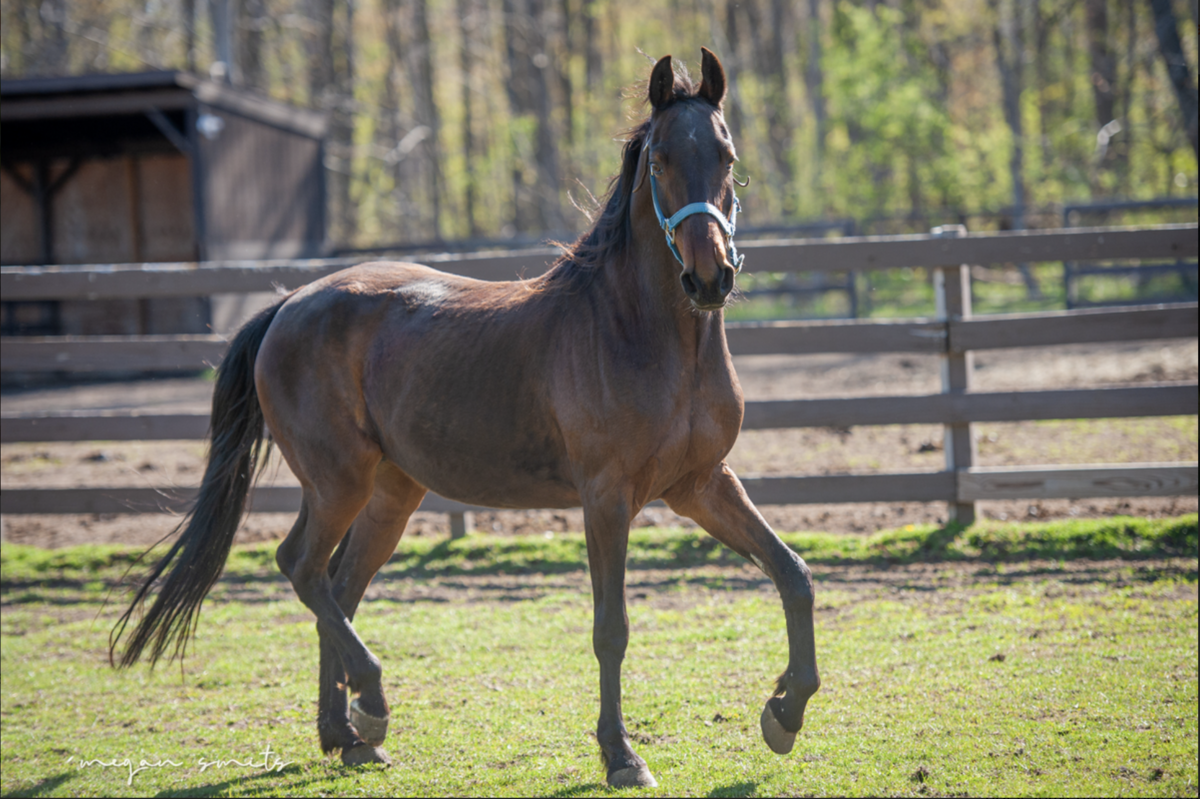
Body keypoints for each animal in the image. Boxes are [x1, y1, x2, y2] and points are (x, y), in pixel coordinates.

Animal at [112, 48, 820, 789]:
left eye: (727, 155)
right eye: (660, 159)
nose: (710, 278)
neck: (642, 333)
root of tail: (289, 303)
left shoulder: (700, 484)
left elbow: (793, 574)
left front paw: (784, 712)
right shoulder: (606, 498)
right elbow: (612, 627)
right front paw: (622, 756)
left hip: (390, 492)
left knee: (338, 585)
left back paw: (347, 736)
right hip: (338, 482)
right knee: (303, 568)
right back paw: (371, 705)